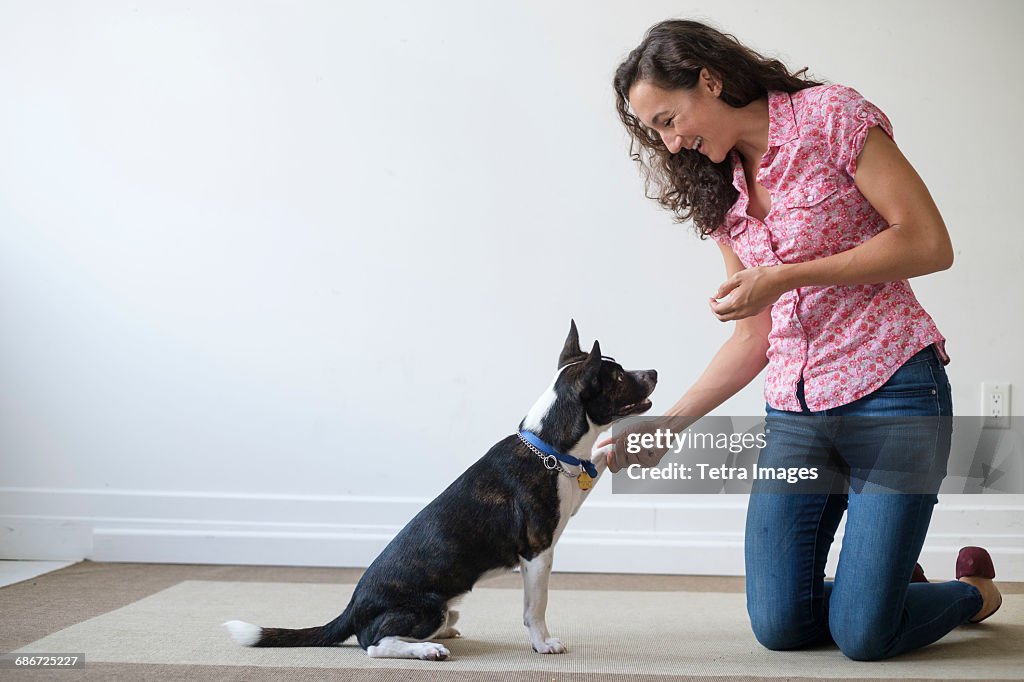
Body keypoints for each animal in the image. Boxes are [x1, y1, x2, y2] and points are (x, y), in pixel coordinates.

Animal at [223, 323, 655, 659]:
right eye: (617, 378)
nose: (652, 370)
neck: (548, 446)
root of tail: (352, 608)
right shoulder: (537, 553)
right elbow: (536, 608)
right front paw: (543, 644)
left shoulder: (571, 486)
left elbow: (595, 459)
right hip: (427, 607)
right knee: (373, 644)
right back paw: (426, 648)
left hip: (443, 607)